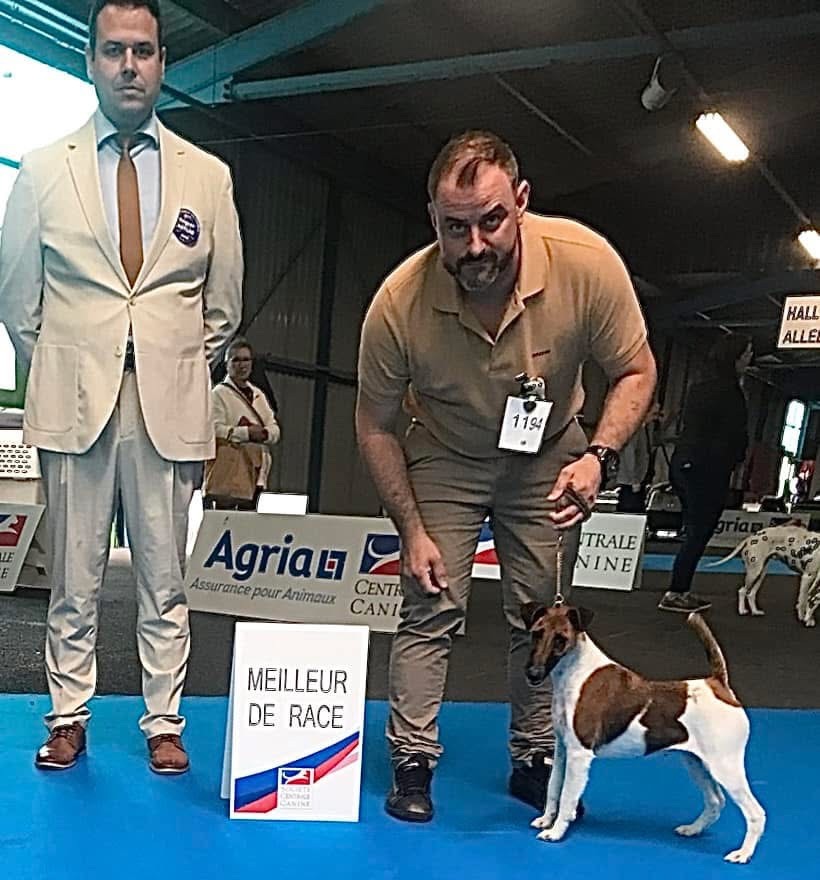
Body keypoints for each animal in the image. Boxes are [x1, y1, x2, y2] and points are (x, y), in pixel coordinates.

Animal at [522, 603, 765, 864]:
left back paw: (742, 854)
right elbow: (553, 787)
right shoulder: (561, 748)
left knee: (755, 813)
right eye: (537, 633)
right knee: (715, 801)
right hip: (696, 762)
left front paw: (556, 832)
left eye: (561, 639)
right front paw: (546, 820)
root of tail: (719, 685)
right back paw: (692, 829)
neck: (576, 673)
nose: (533, 673)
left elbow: (567, 797)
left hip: (725, 767)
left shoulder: (579, 754)